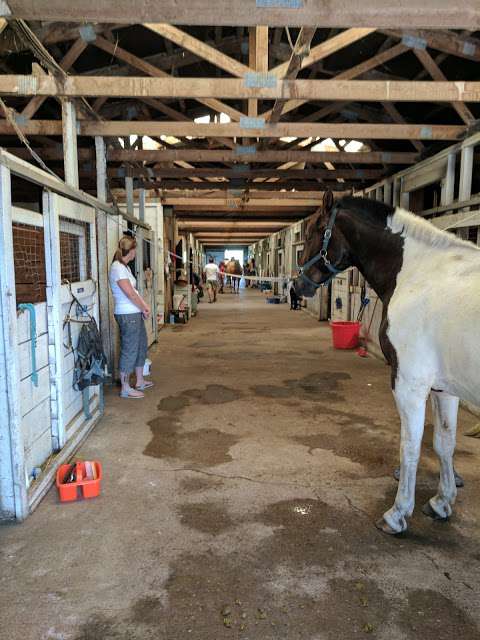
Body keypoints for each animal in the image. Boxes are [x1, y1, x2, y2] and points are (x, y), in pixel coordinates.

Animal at [292, 195, 480, 536]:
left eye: (313, 231)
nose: (298, 287)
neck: (417, 274)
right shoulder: (445, 388)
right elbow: (444, 442)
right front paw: (441, 502)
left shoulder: (409, 383)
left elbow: (410, 446)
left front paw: (397, 514)